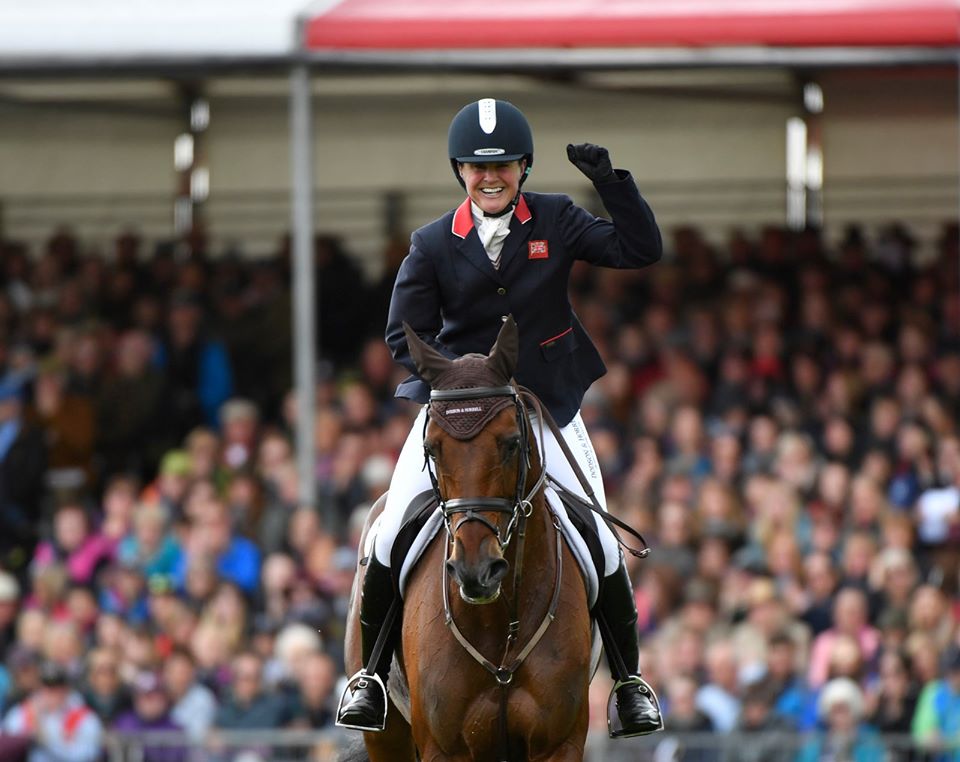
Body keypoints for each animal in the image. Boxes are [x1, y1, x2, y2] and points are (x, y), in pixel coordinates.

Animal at [348, 316, 592, 760]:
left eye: (512, 443)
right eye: (431, 449)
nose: (476, 571)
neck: (500, 621)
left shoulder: (558, 744)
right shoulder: (445, 748)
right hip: (387, 734)